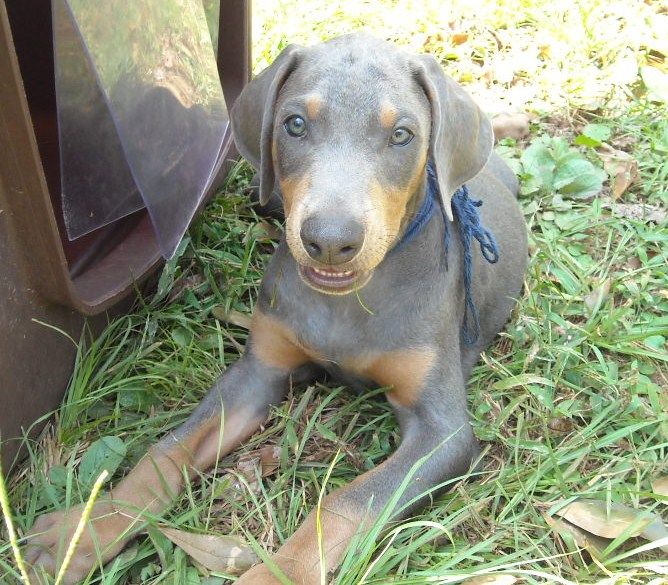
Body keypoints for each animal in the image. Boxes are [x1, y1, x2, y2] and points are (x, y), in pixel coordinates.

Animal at [26, 34, 528, 580]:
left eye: (402, 135)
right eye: (295, 124)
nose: (329, 242)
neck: (347, 302)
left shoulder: (442, 432)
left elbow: (347, 503)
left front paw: (277, 572)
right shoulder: (259, 371)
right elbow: (167, 450)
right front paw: (86, 531)